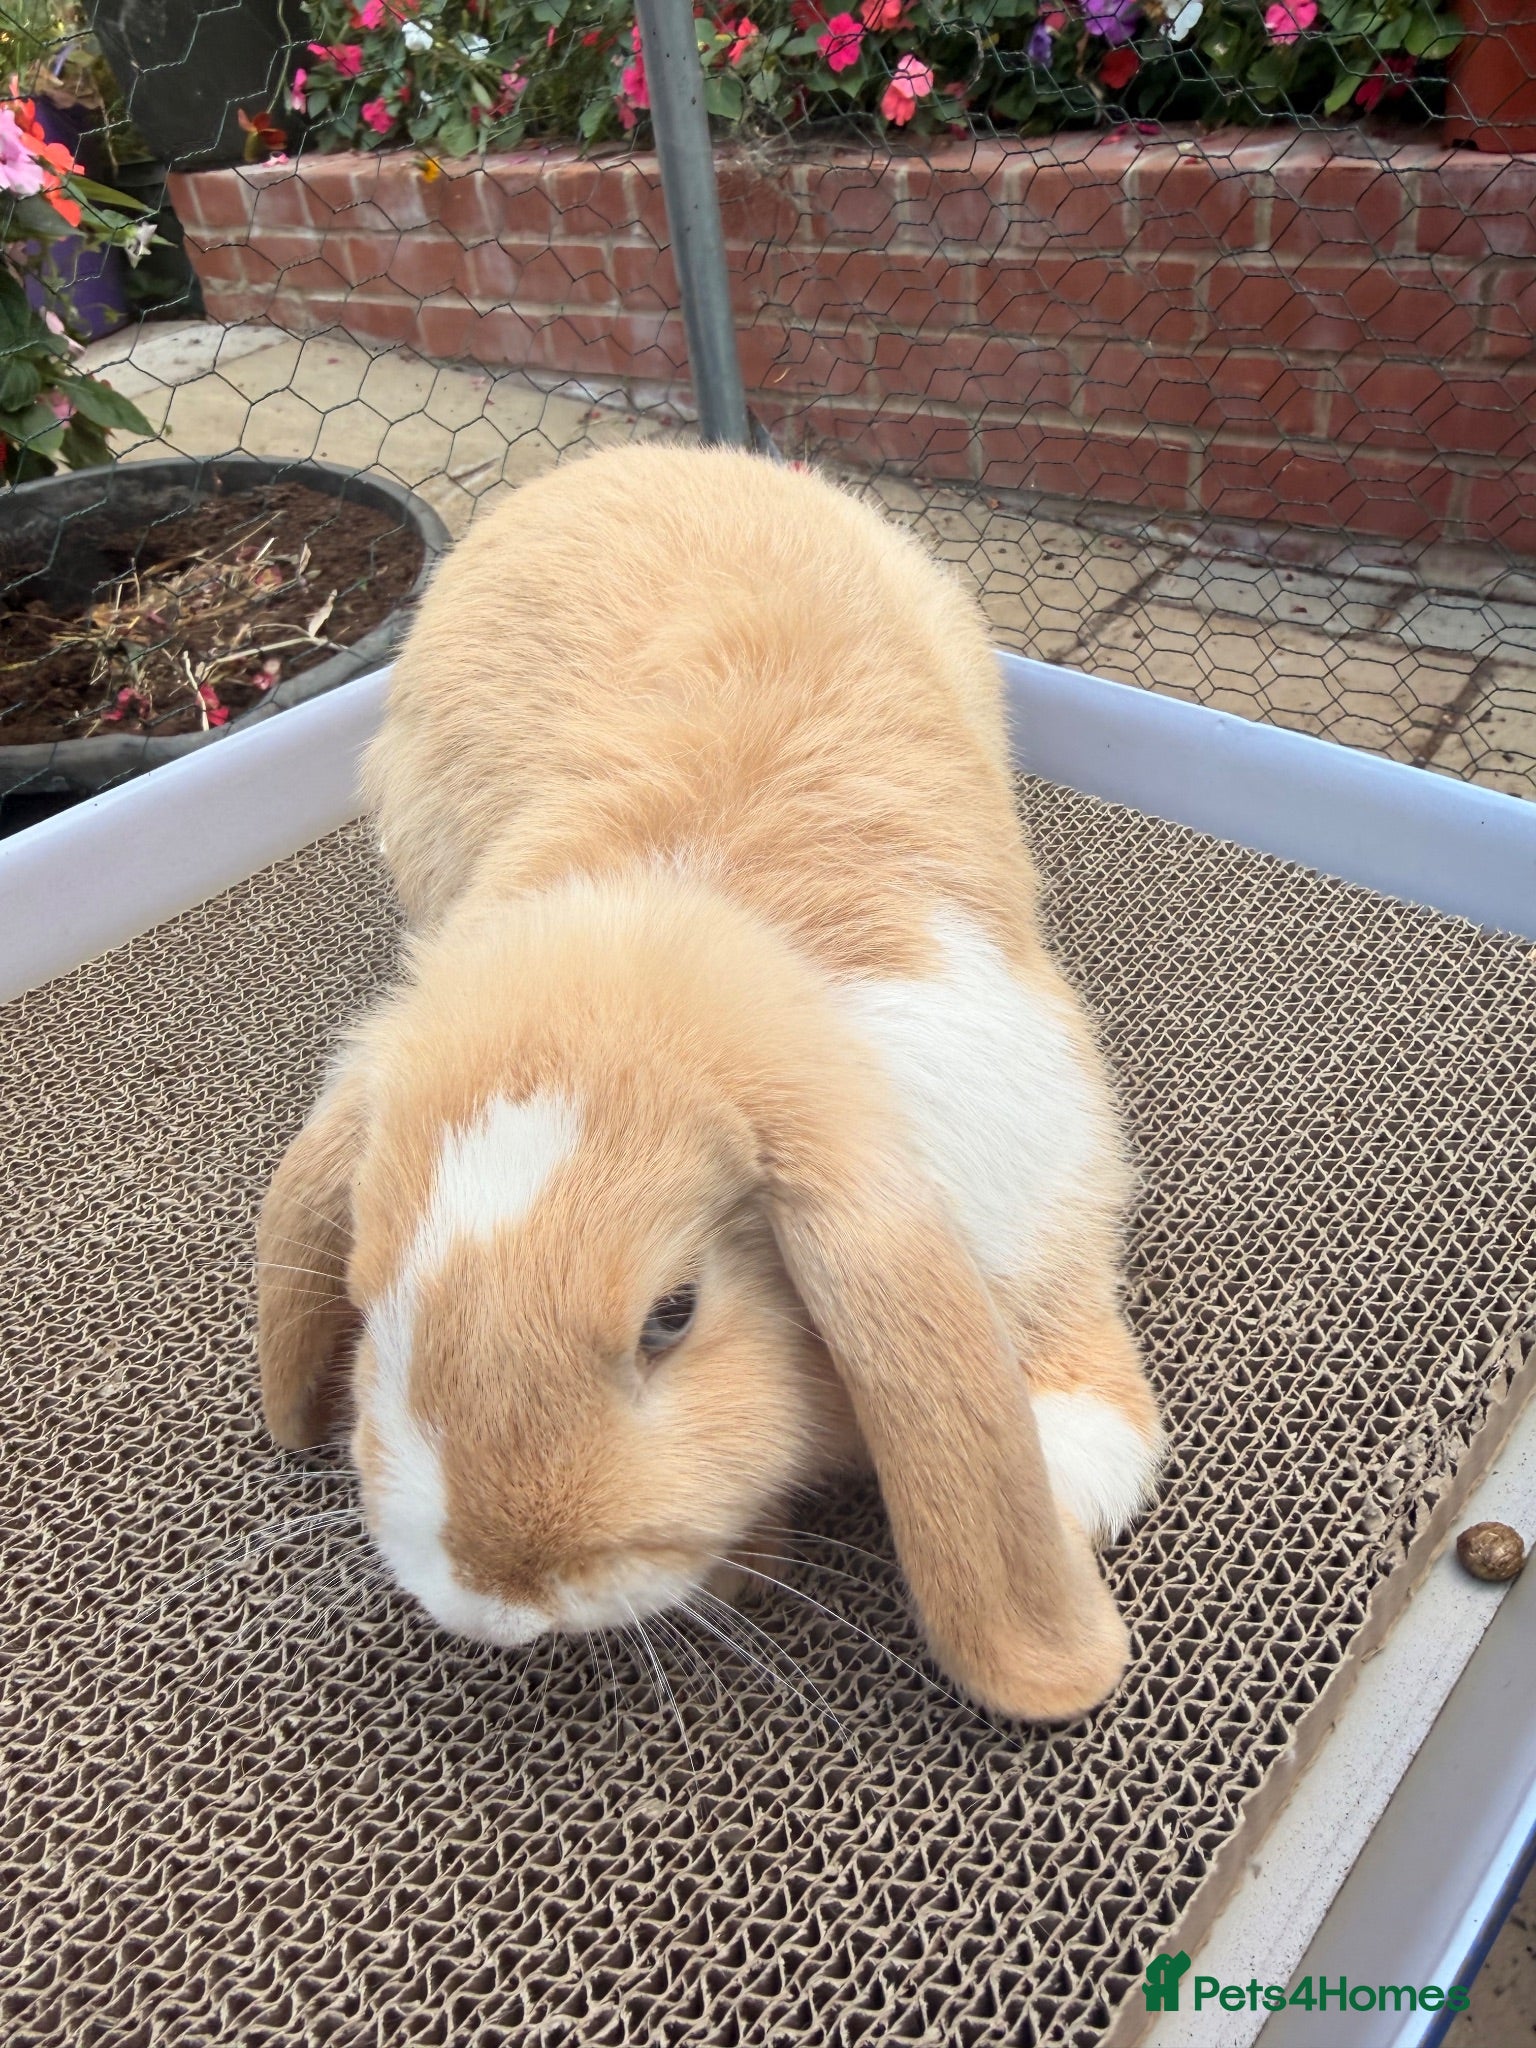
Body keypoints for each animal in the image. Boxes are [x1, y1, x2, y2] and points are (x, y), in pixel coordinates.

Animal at [256, 444, 1164, 1723]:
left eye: (672, 1314)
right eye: (367, 1296)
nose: (497, 1598)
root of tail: (624, 459)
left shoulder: (1040, 1161)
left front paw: (1067, 1471)